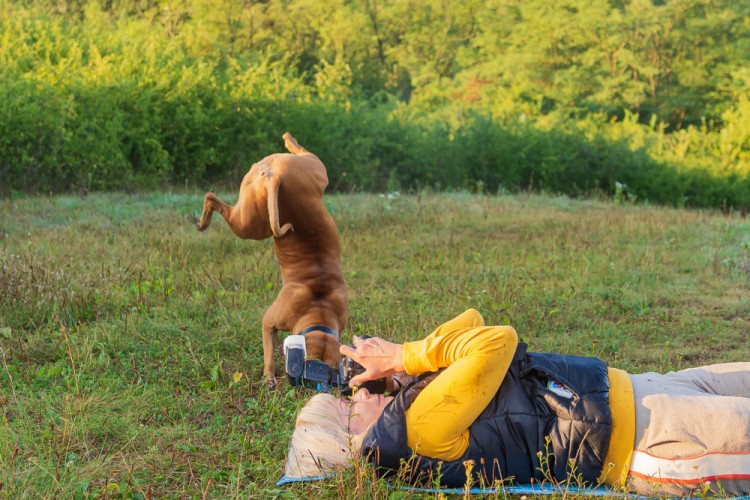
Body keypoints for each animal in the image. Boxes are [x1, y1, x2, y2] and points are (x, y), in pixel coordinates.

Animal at [194, 134, 346, 390]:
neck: (319, 308)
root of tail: (276, 176)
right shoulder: (269, 323)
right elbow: (268, 353)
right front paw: (269, 376)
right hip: (301, 182)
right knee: (212, 198)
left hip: (252, 211)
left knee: (214, 199)